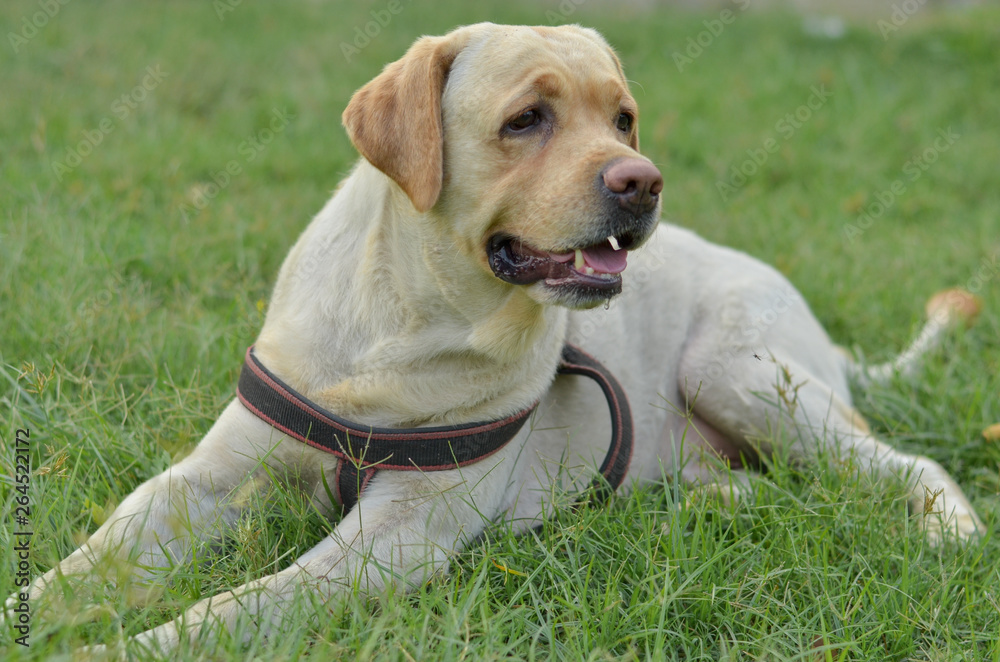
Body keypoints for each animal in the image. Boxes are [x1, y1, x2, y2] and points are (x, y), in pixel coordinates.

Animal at [1, 23, 984, 656]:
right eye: (526, 120)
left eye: (622, 118)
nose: (644, 180)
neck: (408, 322)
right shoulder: (203, 482)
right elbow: (92, 559)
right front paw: (37, 610)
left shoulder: (393, 540)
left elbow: (235, 609)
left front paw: (112, 649)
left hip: (736, 367)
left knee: (905, 463)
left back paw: (953, 533)